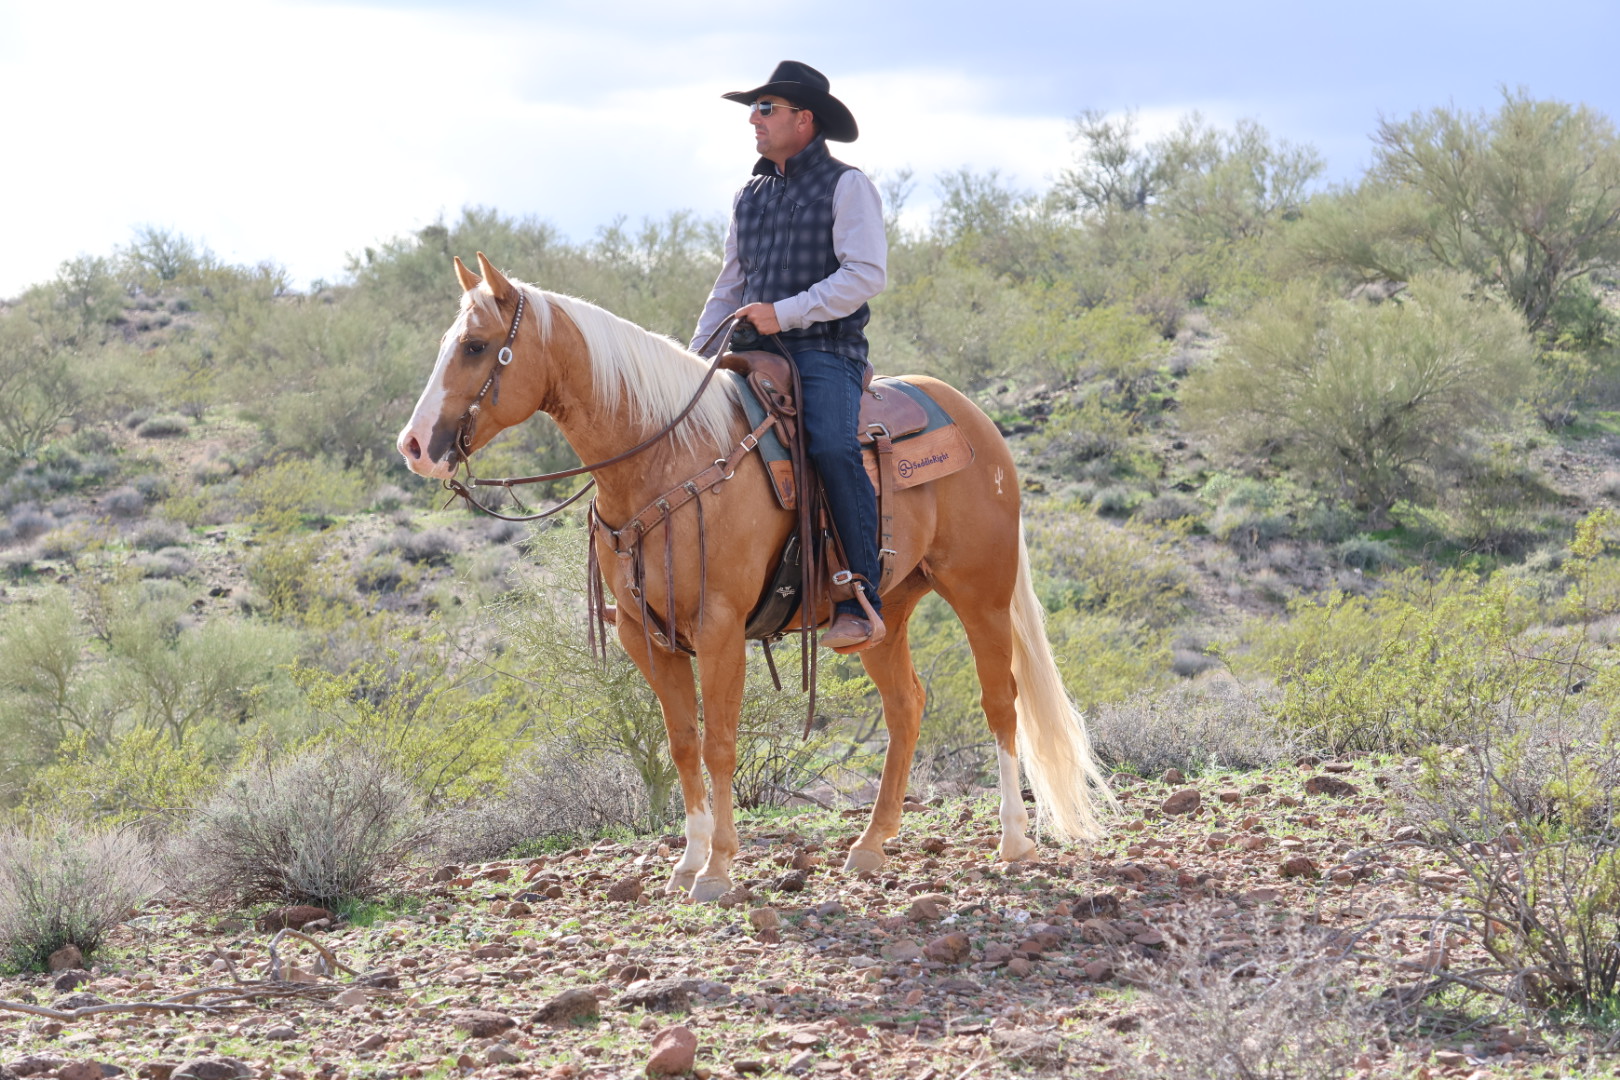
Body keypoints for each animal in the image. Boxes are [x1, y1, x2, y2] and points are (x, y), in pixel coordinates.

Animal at [397, 253, 1113, 901]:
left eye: (475, 346)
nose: (414, 446)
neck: (670, 456)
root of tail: (974, 419)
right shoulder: (646, 637)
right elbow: (683, 743)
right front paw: (687, 862)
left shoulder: (718, 628)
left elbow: (720, 745)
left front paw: (717, 870)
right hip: (882, 613)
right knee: (906, 705)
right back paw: (871, 844)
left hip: (980, 590)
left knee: (1001, 698)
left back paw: (1014, 839)